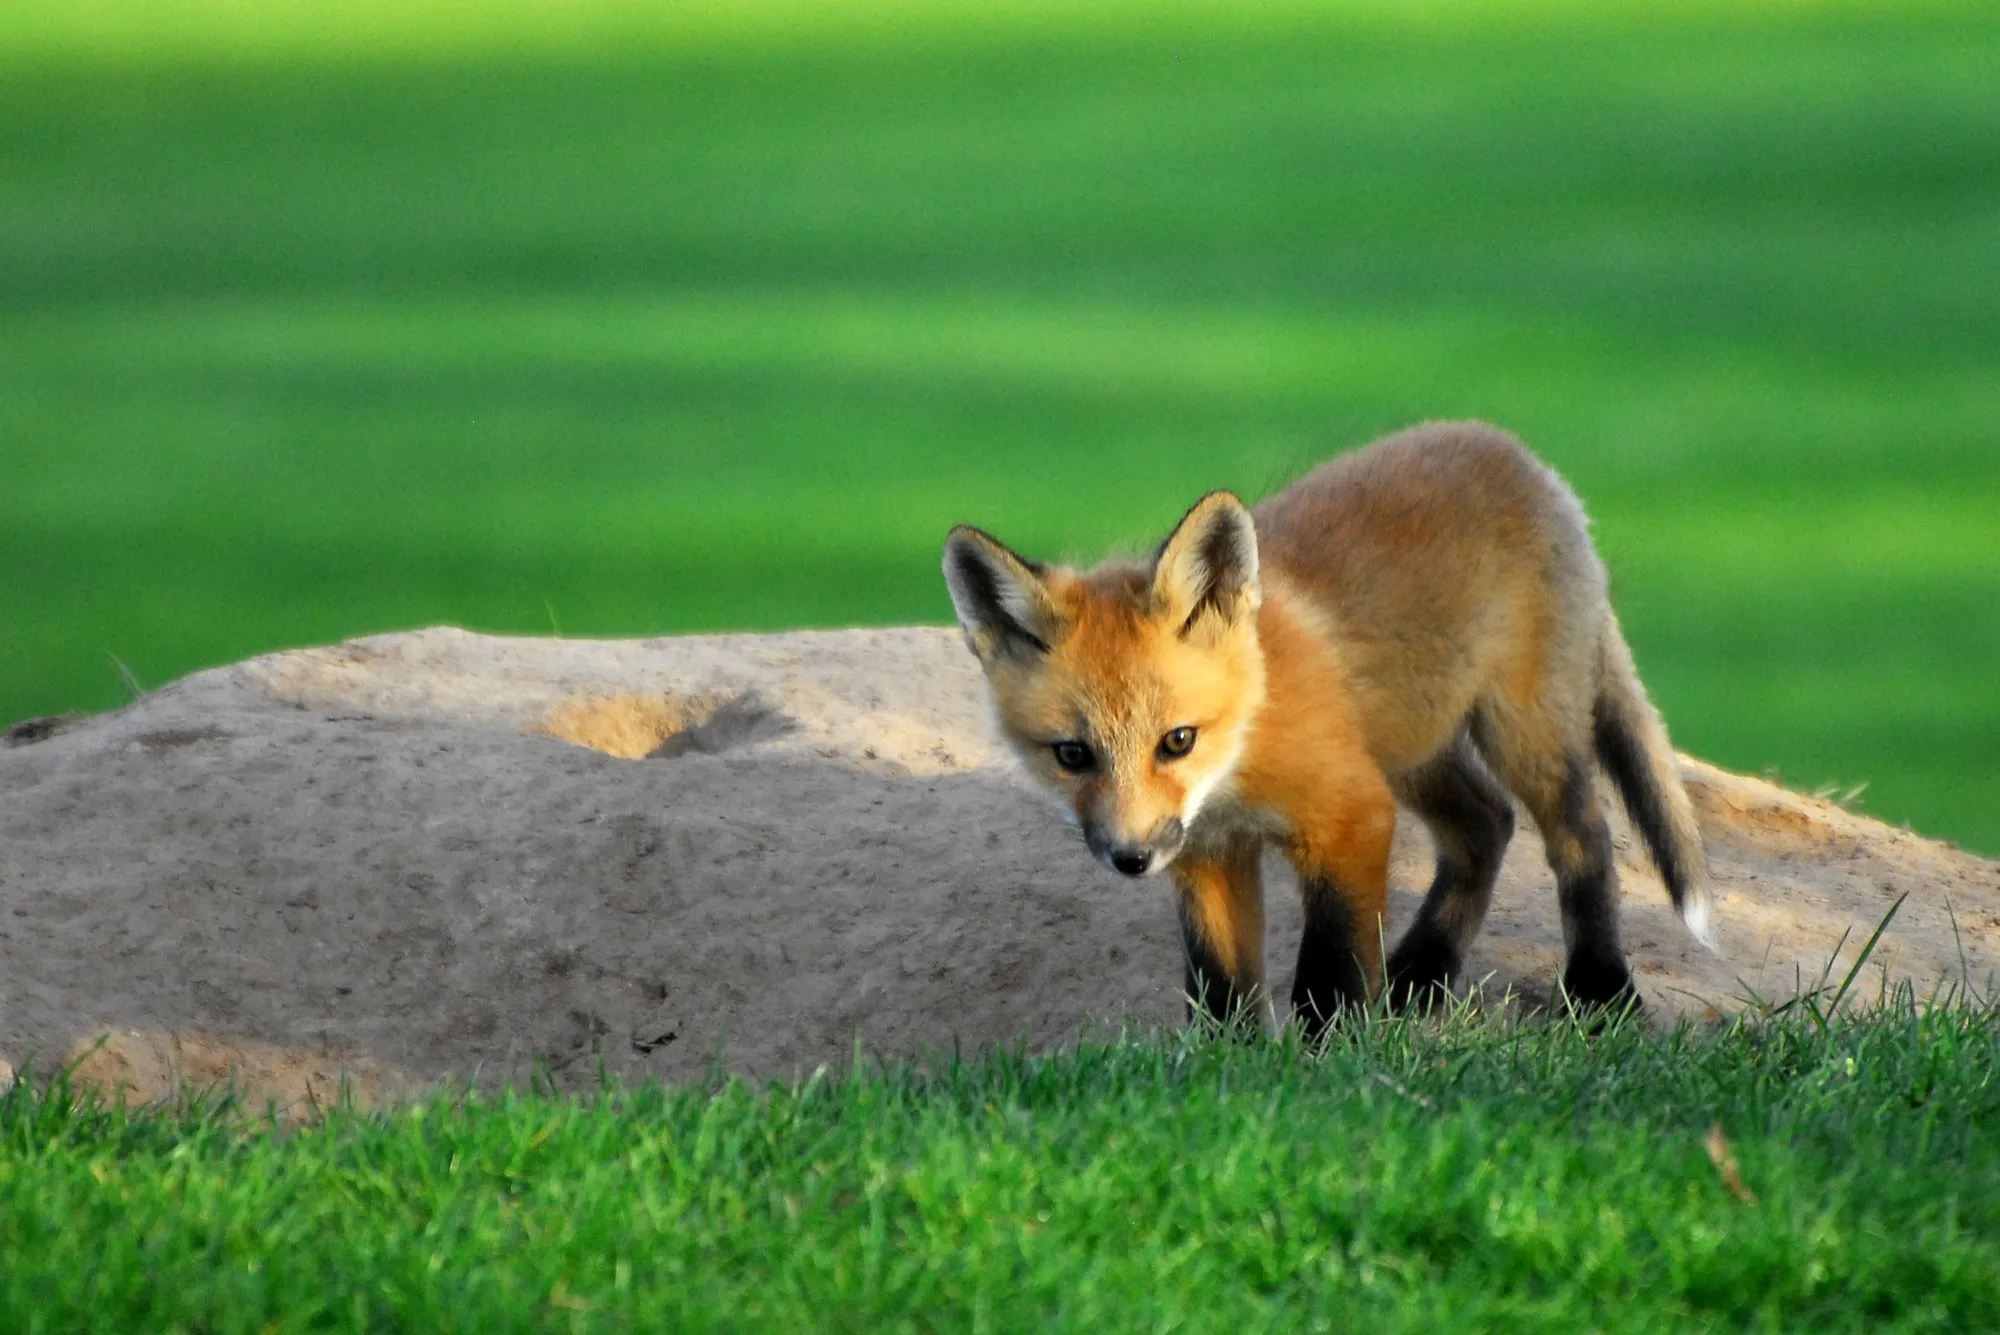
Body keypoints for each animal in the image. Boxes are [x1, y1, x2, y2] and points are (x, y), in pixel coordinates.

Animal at [942, 420, 1713, 1034]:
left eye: (1177, 741)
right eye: (1073, 754)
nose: (1130, 858)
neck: (1245, 747)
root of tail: (1519, 454)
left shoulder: (1352, 815)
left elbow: (1329, 974)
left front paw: (1330, 1062)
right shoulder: (1208, 853)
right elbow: (1222, 991)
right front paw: (1234, 1073)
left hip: (1520, 733)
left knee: (1584, 838)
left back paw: (1600, 990)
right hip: (1411, 746)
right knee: (1486, 823)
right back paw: (1420, 976)